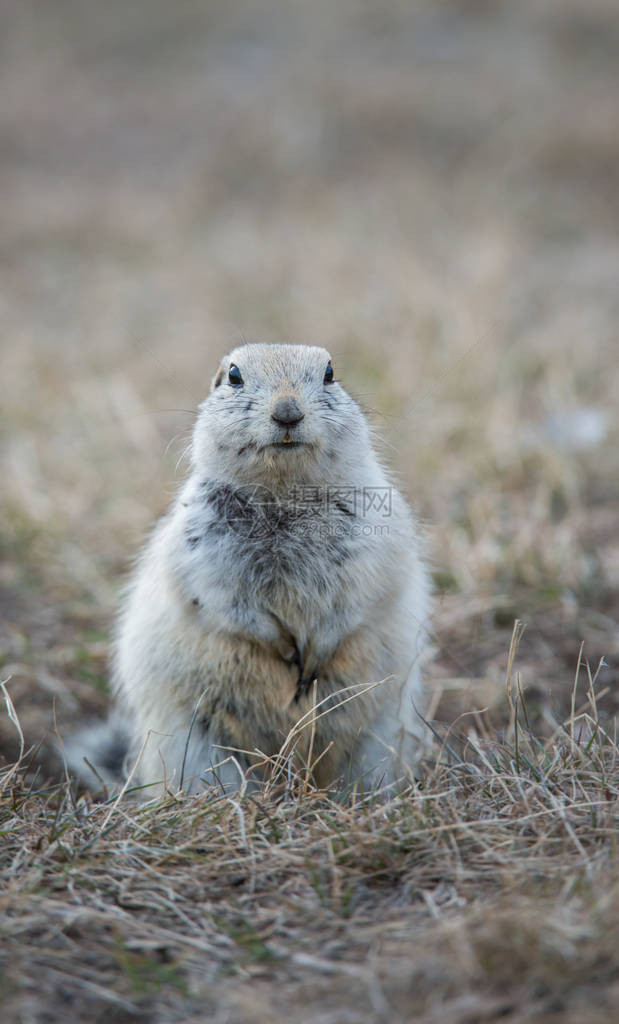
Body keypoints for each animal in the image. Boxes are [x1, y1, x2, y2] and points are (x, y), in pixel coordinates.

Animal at [67, 348, 430, 794]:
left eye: (330, 373)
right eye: (234, 376)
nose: (287, 412)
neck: (284, 492)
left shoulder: (375, 543)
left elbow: (359, 599)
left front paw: (313, 658)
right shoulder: (204, 554)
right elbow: (226, 604)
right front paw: (286, 651)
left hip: (377, 741)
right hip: (197, 750)